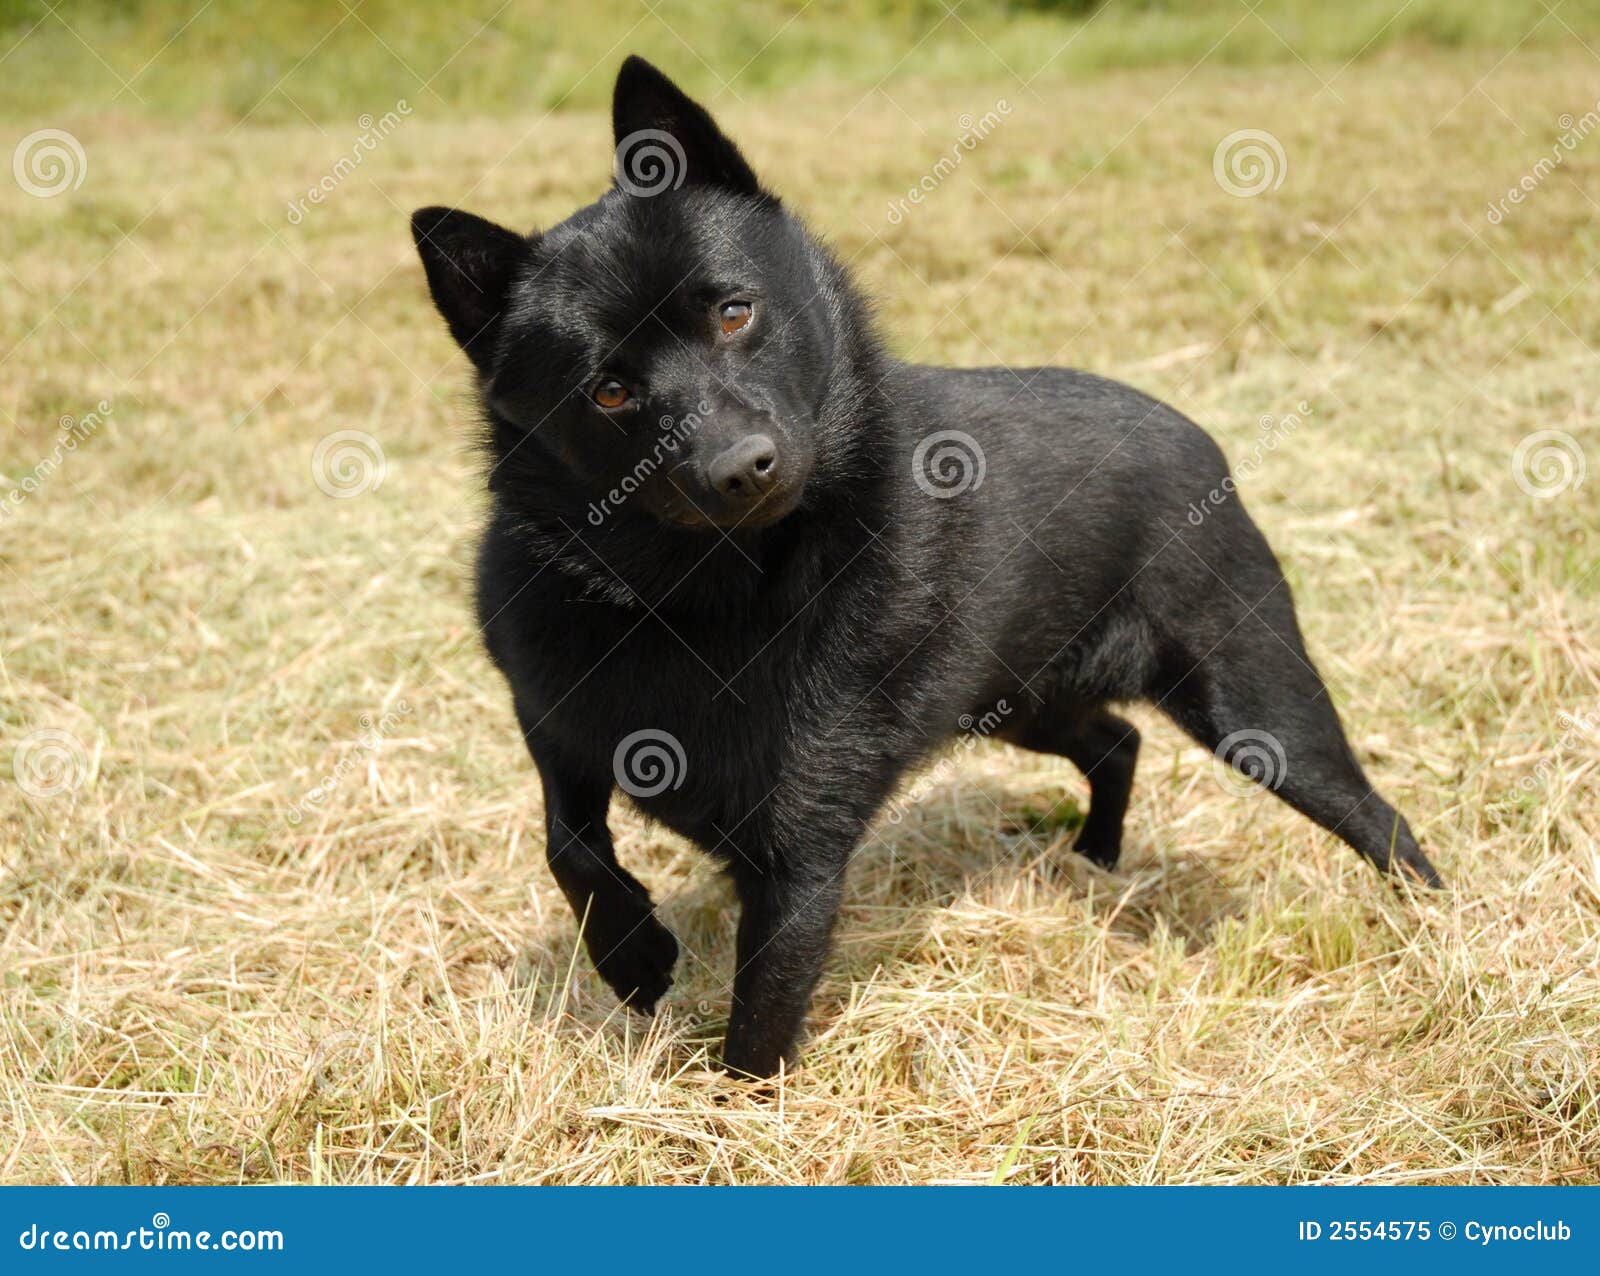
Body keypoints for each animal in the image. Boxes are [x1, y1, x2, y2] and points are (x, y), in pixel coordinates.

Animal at [409, 57, 1440, 1080]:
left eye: (736, 311)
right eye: (610, 391)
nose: (741, 466)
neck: (689, 597)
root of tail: (1194, 435)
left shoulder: (801, 848)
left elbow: (760, 1021)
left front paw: (730, 1106)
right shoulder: (555, 721)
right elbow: (569, 842)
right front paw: (632, 956)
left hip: (1256, 711)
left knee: (1375, 814)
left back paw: (1434, 930)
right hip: (1024, 702)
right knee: (1117, 743)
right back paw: (1095, 859)